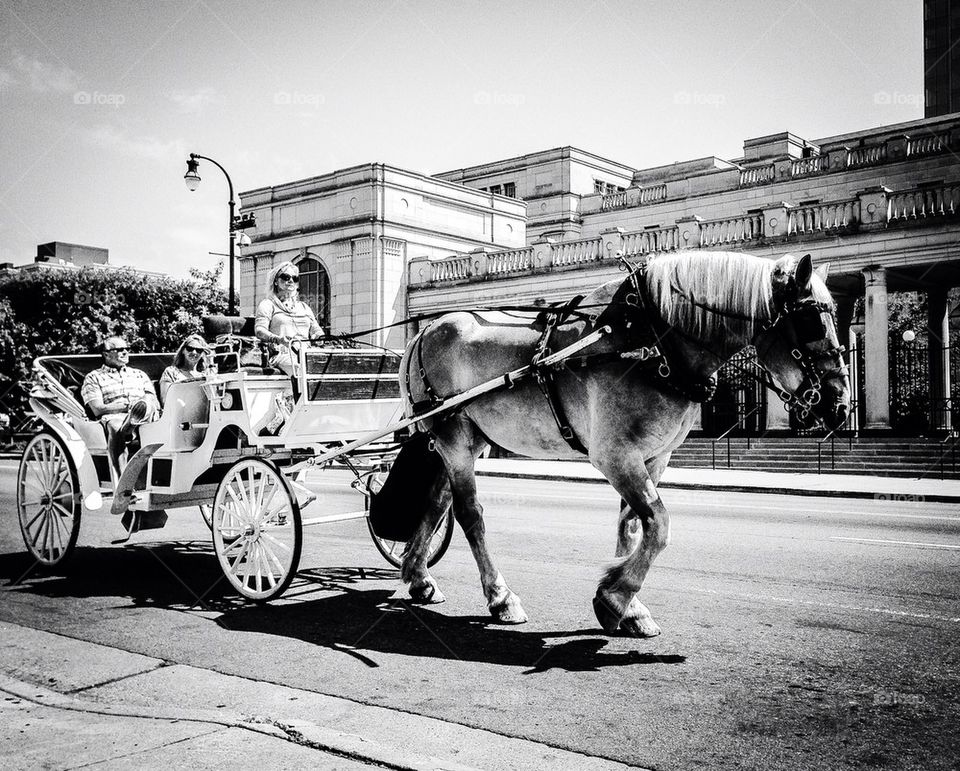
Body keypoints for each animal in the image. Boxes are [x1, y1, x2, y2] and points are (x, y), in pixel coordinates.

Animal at [394, 250, 852, 636]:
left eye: (837, 316)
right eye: (812, 321)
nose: (840, 404)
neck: (653, 340)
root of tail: (425, 329)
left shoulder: (655, 456)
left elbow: (634, 526)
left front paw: (629, 606)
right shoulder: (614, 454)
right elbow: (660, 525)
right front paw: (615, 597)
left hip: (465, 439)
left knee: (437, 503)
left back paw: (418, 575)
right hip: (452, 437)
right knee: (470, 515)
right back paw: (500, 596)